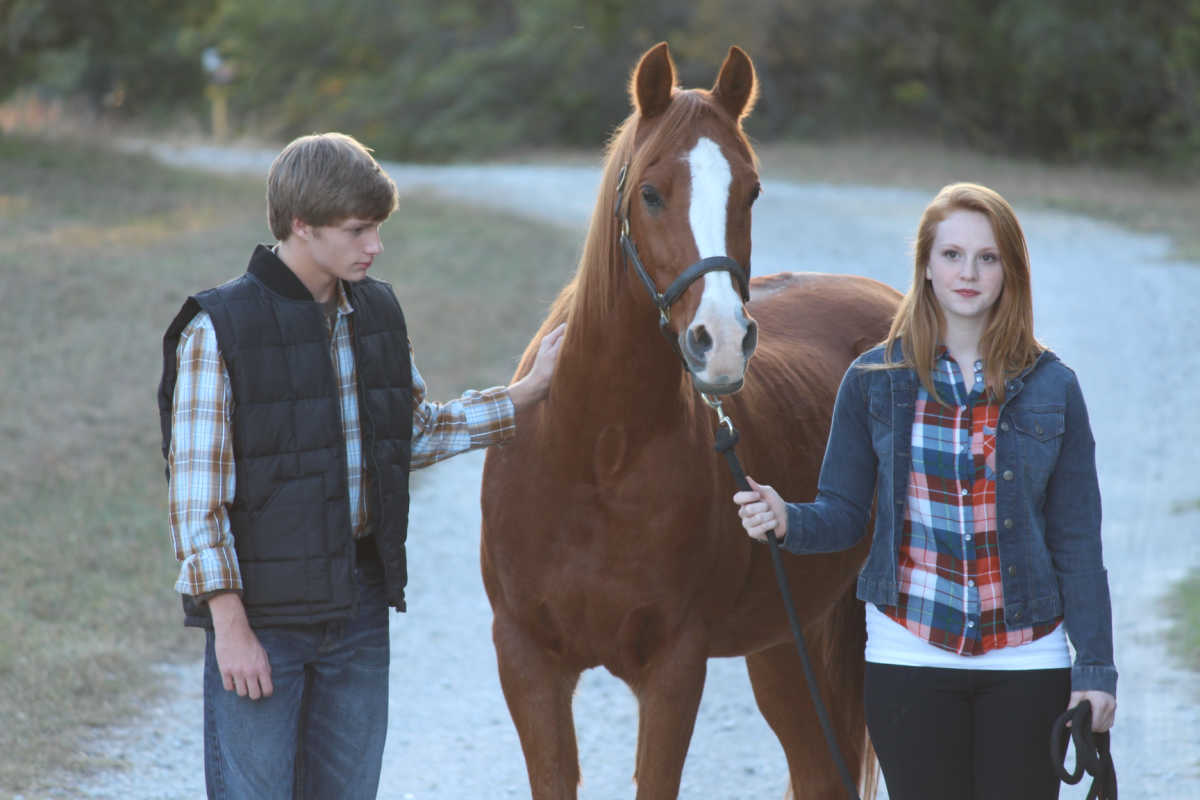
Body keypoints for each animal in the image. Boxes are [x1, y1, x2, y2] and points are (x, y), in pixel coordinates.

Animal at [477, 45, 902, 800]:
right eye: (650, 193)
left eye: (751, 193)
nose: (722, 342)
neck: (595, 450)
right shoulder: (527, 661)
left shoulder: (675, 667)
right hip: (784, 647)